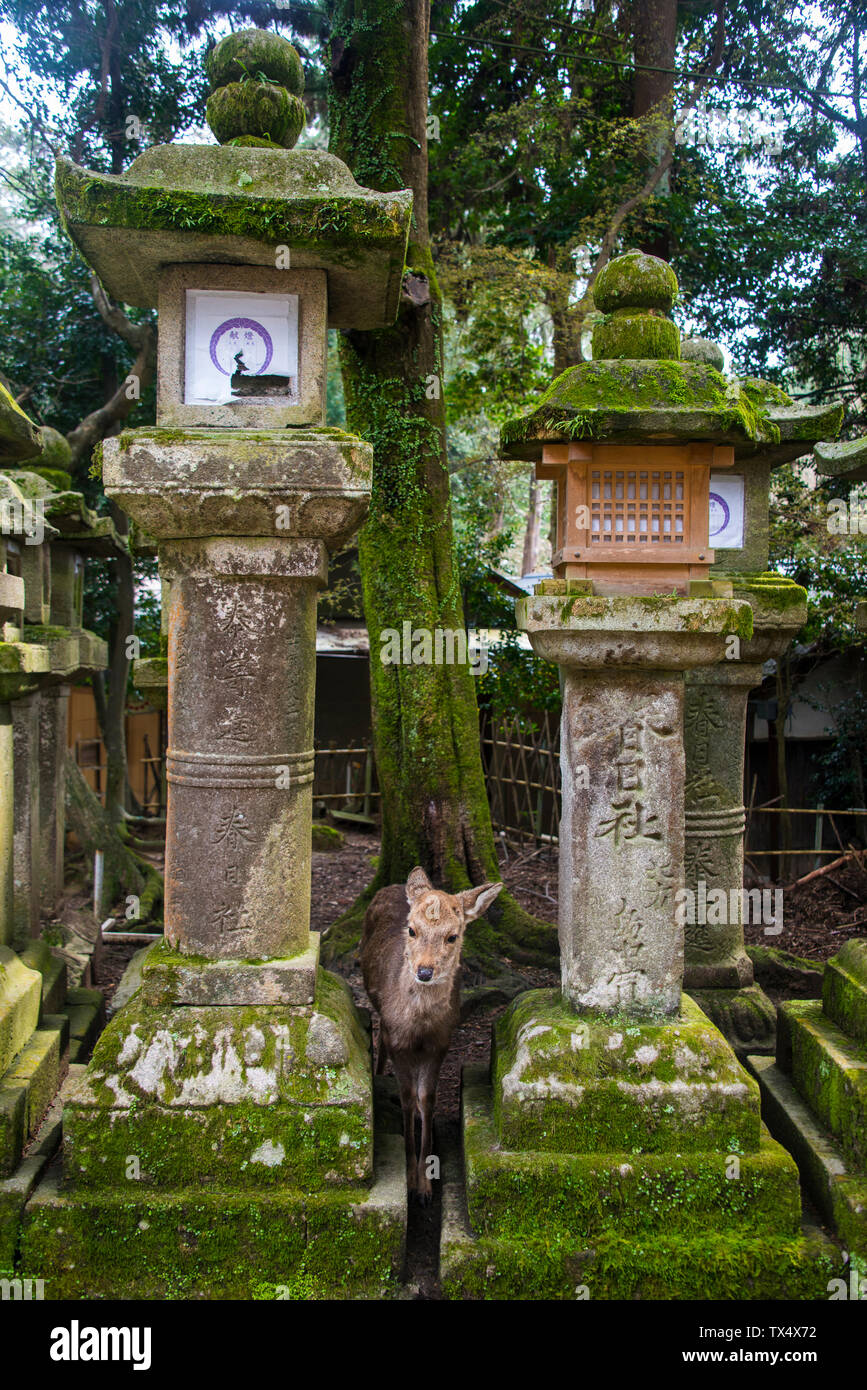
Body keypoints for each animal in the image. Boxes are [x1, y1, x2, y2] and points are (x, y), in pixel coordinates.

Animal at [361, 867, 505, 1206]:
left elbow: (427, 1099)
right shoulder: (399, 1043)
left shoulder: (440, 1045)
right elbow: (406, 1098)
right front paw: (410, 1178)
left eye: (452, 936)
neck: (419, 1028)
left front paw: (425, 1186)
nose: (424, 971)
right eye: (412, 930)